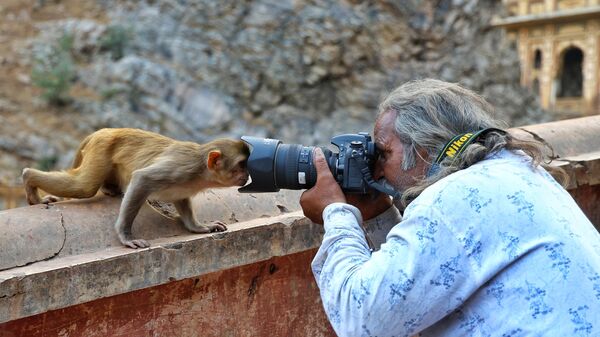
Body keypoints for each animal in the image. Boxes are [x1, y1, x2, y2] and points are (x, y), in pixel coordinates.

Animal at [22, 127, 248, 248]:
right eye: (241, 165)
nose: (247, 175)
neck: (202, 171)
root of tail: (105, 130)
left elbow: (180, 198)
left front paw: (198, 227)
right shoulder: (182, 169)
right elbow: (142, 178)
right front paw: (126, 236)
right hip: (101, 148)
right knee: (83, 187)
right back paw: (29, 180)